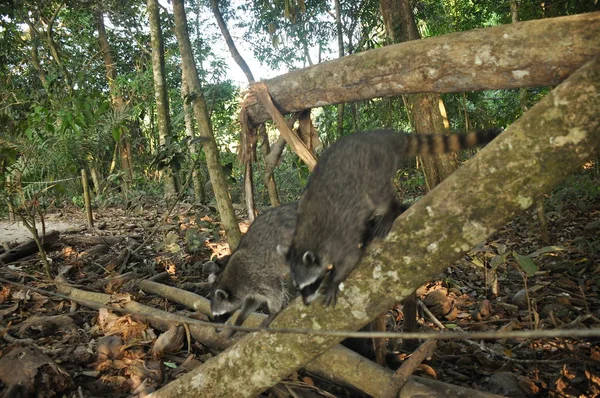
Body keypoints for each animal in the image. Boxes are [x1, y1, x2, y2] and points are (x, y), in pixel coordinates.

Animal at [210, 204, 298, 338]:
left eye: (219, 316)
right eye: (215, 316)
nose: (216, 330)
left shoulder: (258, 274)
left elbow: (275, 291)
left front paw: (274, 311)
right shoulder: (251, 288)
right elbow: (252, 303)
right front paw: (238, 322)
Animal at [278, 129, 504, 306]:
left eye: (310, 285)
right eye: (299, 287)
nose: (306, 303)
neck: (308, 240)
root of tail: (382, 136)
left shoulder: (338, 238)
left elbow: (350, 257)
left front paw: (334, 280)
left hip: (375, 167)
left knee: (378, 195)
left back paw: (389, 211)